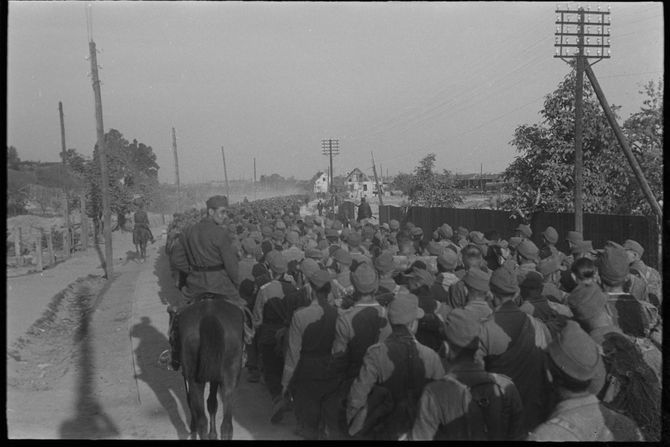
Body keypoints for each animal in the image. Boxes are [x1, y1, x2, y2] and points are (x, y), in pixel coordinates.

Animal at [177, 298, 245, 440]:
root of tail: (209, 315)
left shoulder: (186, 375)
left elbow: (192, 401)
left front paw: (194, 429)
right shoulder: (215, 377)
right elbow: (212, 403)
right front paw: (213, 434)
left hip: (194, 379)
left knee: (202, 420)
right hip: (230, 376)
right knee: (226, 425)